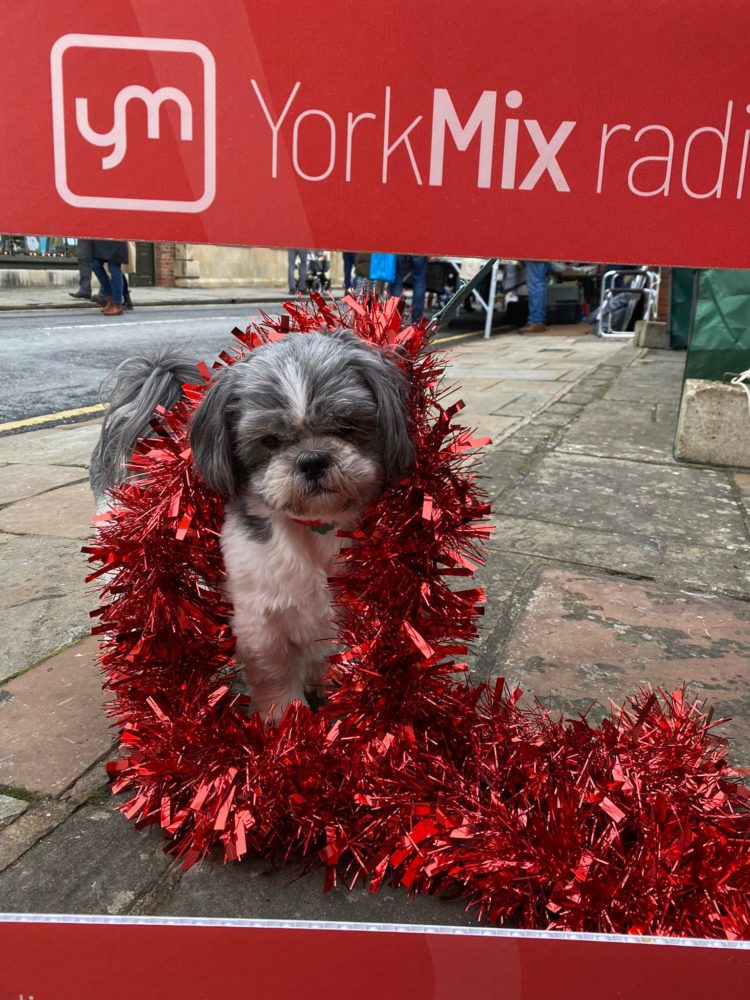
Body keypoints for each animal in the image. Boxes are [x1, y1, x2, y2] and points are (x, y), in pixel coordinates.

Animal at [92, 332, 418, 724]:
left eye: (346, 427)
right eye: (270, 441)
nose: (312, 459)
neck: (312, 528)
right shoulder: (260, 619)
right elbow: (274, 674)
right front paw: (286, 723)